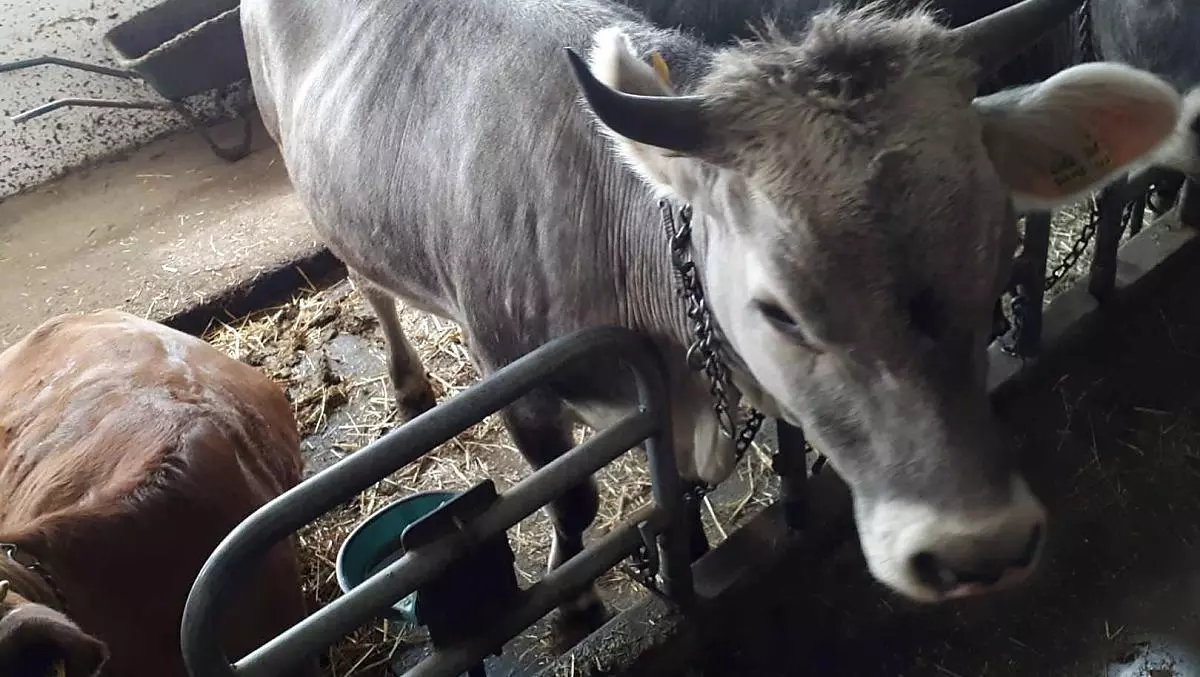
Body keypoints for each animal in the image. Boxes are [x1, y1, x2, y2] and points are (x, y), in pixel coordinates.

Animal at [240, 0, 1187, 629]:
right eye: (780, 310)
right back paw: (407, 385)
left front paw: (685, 550)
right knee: (366, 279)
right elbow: (573, 500)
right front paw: (576, 603)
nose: (977, 548)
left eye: (996, 252)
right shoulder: (518, 378)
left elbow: (674, 491)